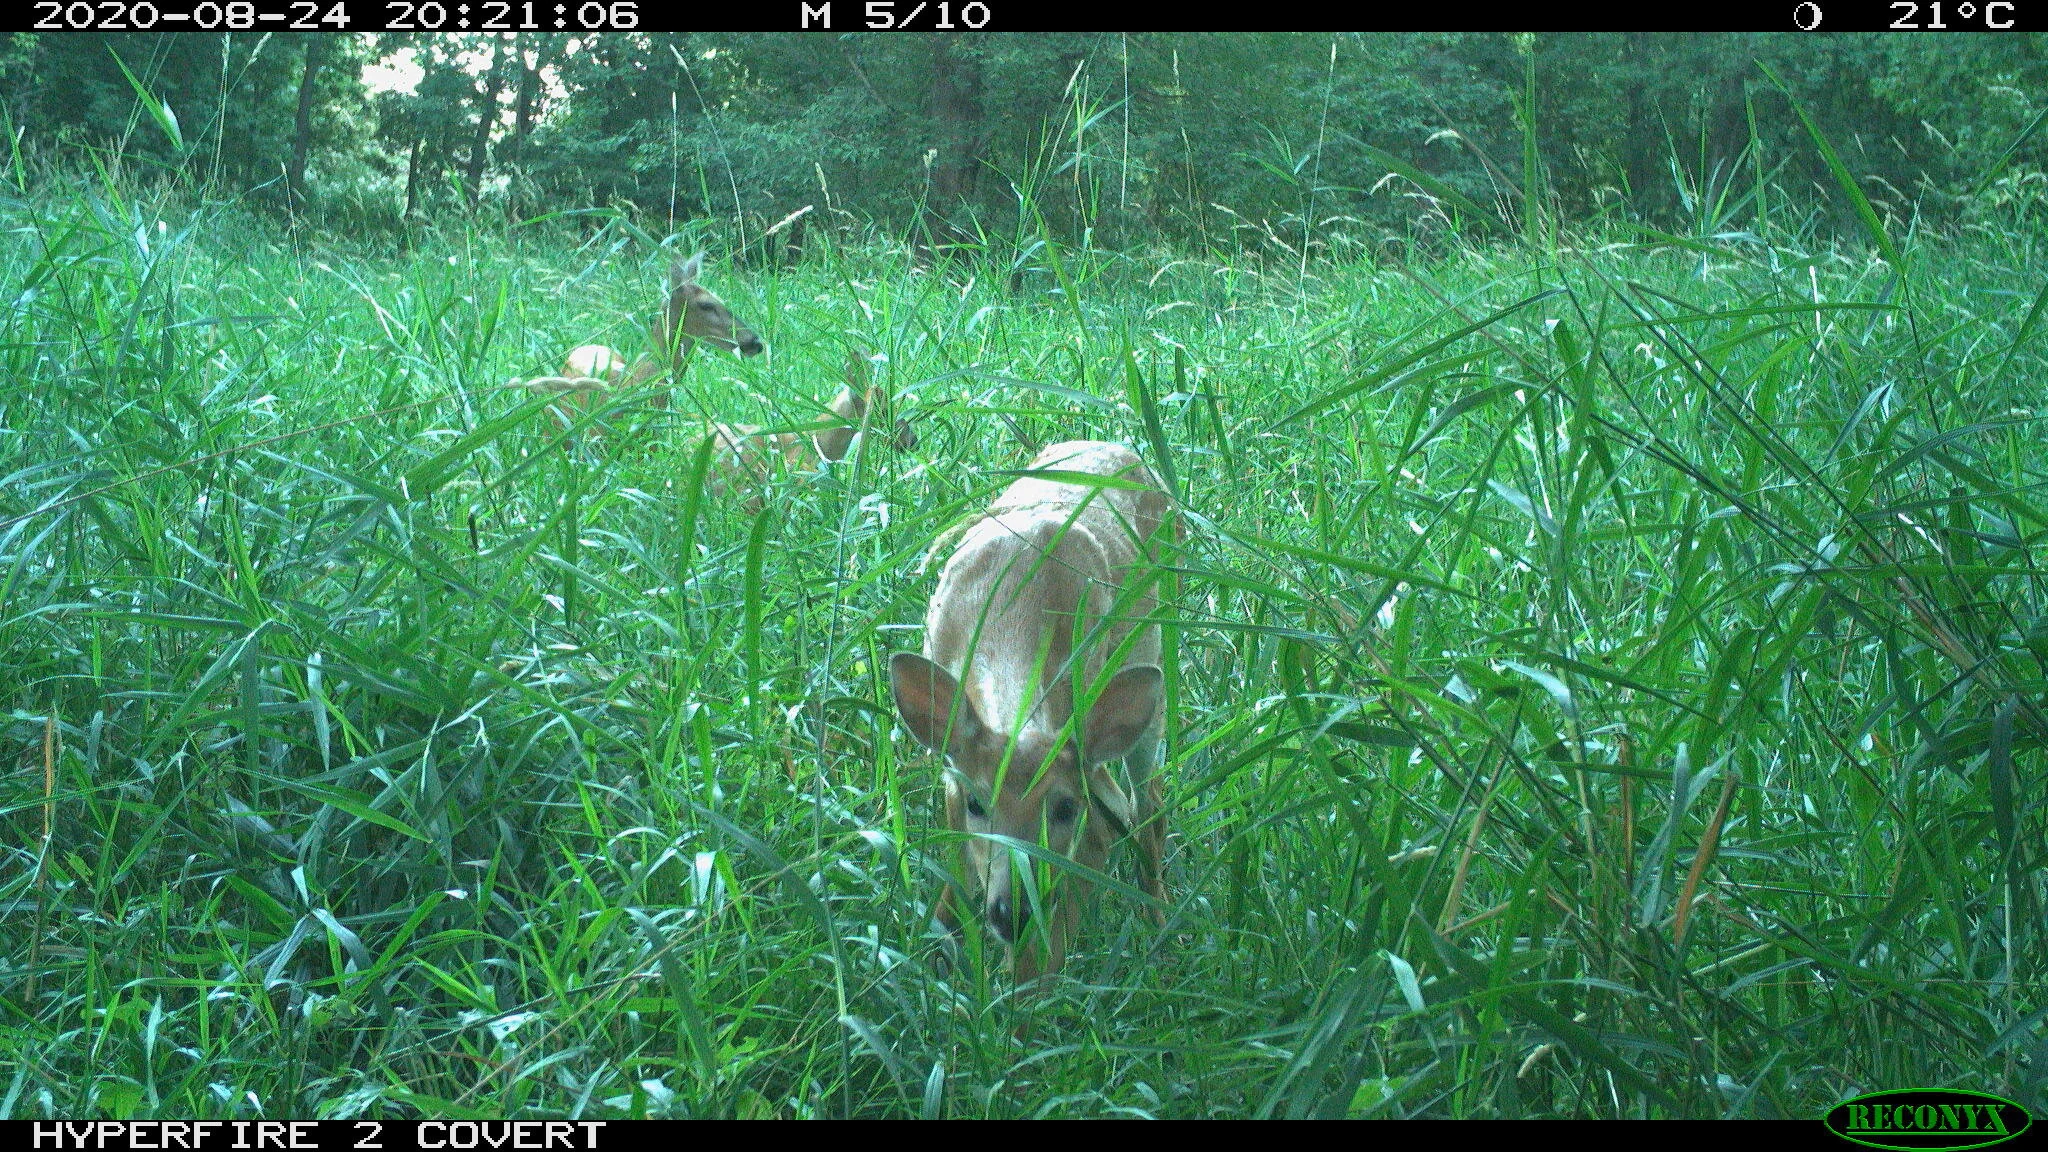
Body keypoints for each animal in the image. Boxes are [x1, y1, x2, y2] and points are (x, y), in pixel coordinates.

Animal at [889, 441, 1174, 983]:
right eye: (979, 803)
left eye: (1064, 808)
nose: (1013, 913)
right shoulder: (953, 771)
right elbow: (956, 865)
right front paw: (937, 948)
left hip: (1151, 652)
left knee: (1146, 803)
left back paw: (1161, 921)